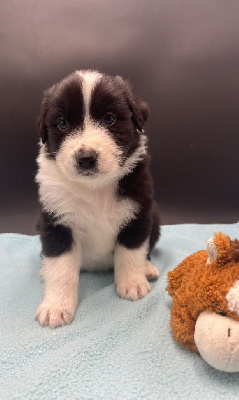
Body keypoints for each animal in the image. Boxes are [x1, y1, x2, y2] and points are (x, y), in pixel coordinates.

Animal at [34, 69, 160, 328]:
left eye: (109, 119)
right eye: (62, 123)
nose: (86, 158)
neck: (94, 189)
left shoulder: (139, 212)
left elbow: (131, 251)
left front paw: (132, 284)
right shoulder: (56, 221)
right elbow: (60, 267)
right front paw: (56, 307)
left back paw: (147, 268)